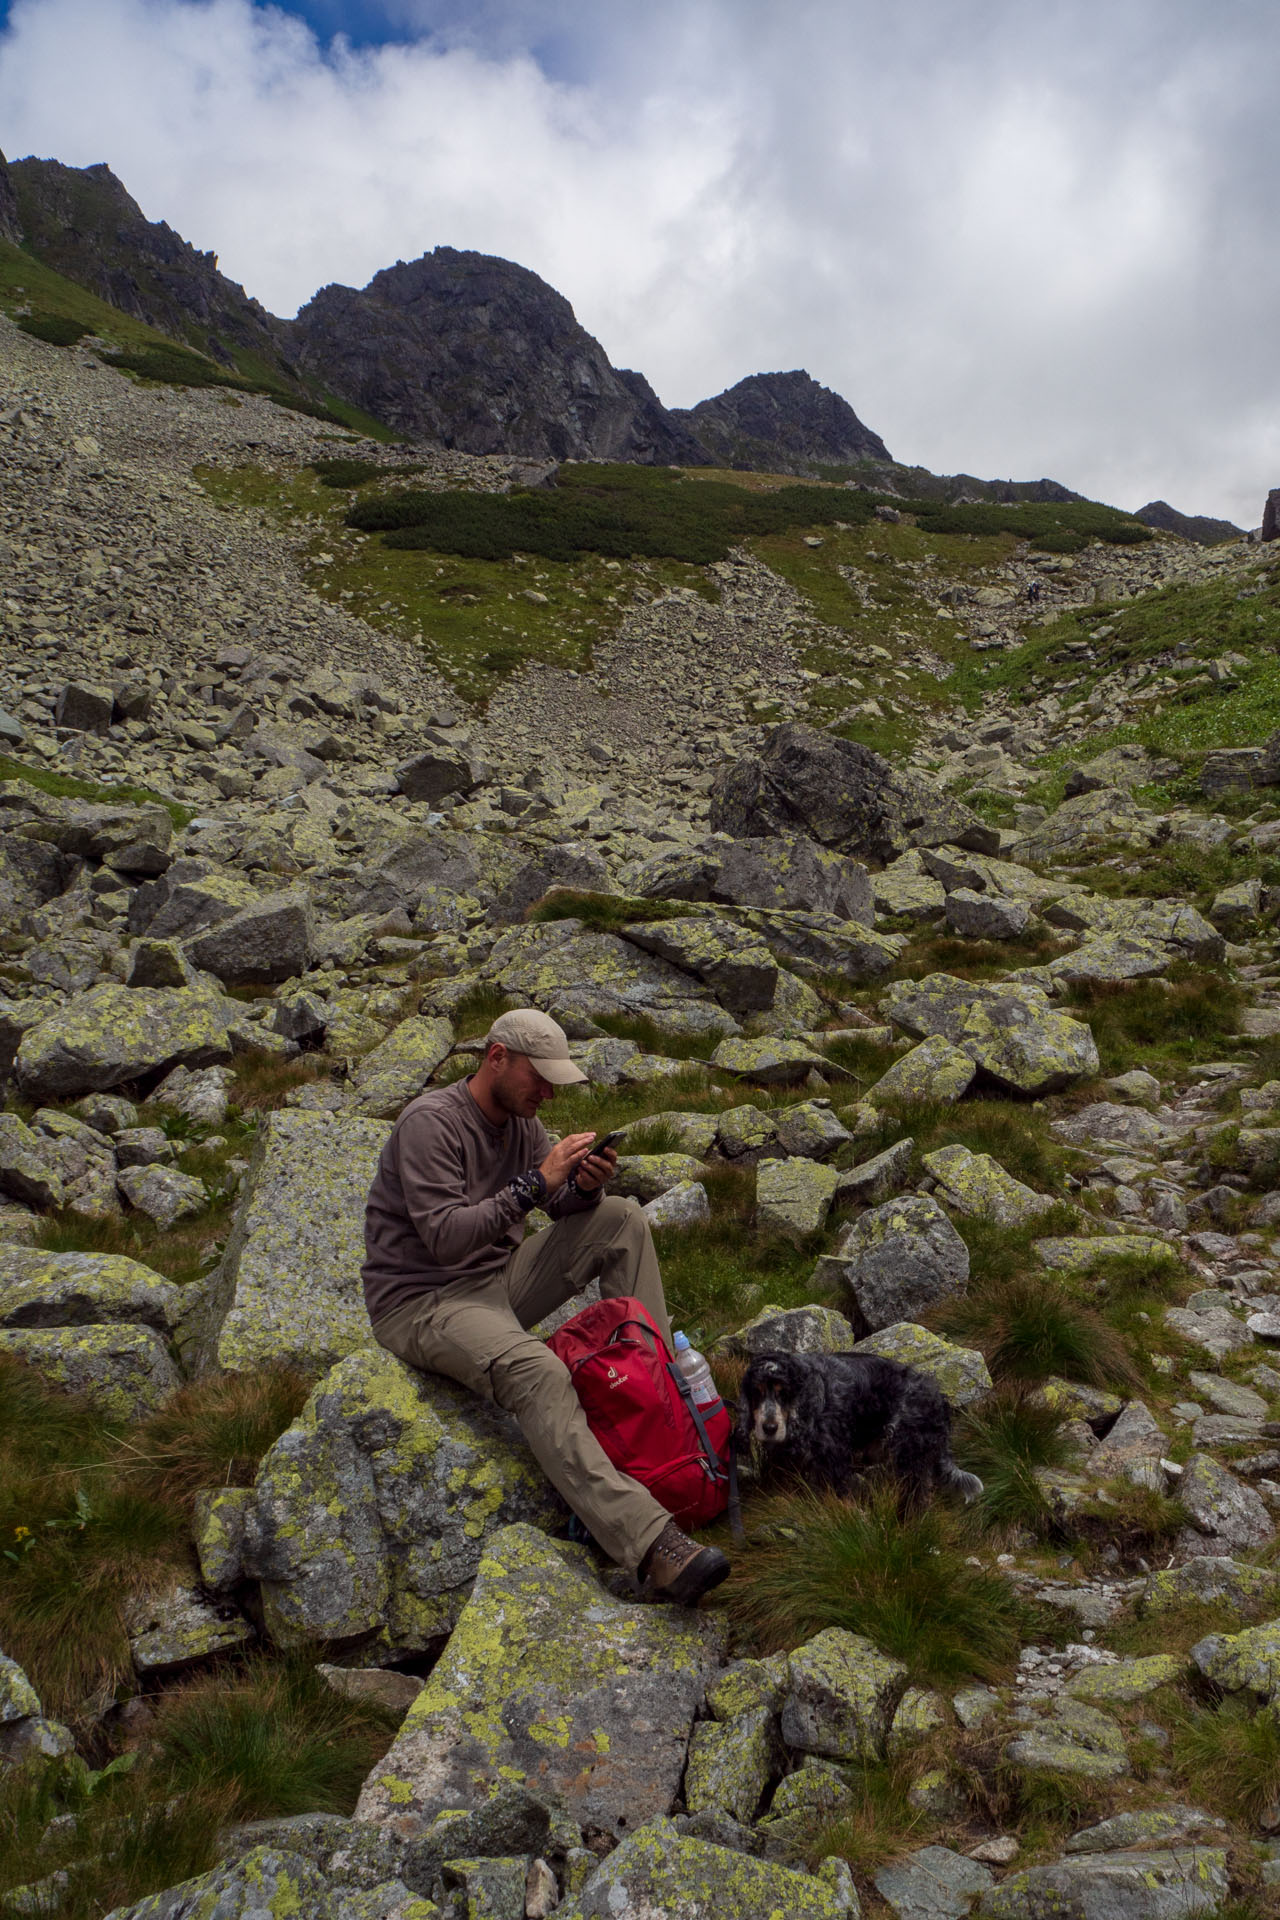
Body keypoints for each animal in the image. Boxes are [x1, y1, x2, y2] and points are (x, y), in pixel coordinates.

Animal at [736, 1344, 990, 1505]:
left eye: (784, 1394)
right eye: (756, 1393)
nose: (769, 1428)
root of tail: (938, 1397)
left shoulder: (834, 1462)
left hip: (909, 1453)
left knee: (916, 1495)